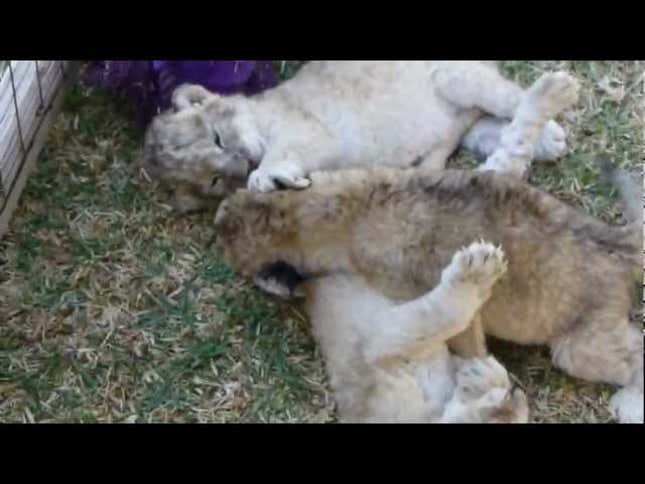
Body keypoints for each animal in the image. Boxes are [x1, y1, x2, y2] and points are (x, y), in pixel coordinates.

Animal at [139, 62, 576, 212]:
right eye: (213, 181)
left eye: (216, 137)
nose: (241, 164)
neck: (259, 116)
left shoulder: (309, 132)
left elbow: (281, 153)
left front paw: (263, 175)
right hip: (459, 122)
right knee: (484, 129)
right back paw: (547, 141)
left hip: (457, 78)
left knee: (508, 97)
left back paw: (553, 126)